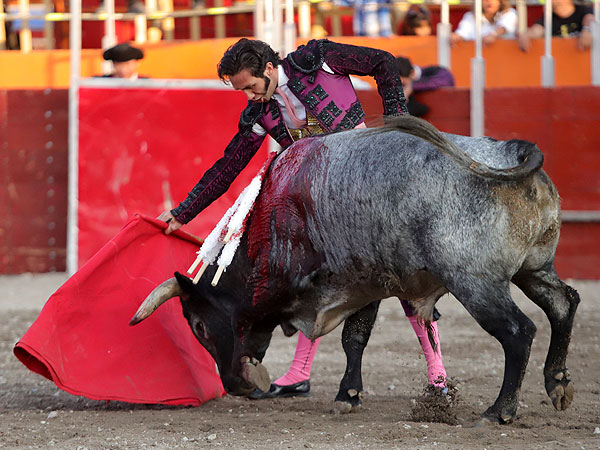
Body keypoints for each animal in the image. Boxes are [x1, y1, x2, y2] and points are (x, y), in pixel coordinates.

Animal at [130, 114, 576, 424]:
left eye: (199, 326)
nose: (233, 386)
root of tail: (511, 153)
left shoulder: (345, 281)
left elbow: (348, 336)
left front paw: (345, 395)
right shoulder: (365, 282)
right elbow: (355, 338)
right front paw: (348, 394)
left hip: (476, 283)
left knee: (518, 331)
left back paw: (499, 410)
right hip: (534, 269)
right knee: (563, 303)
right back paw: (557, 383)